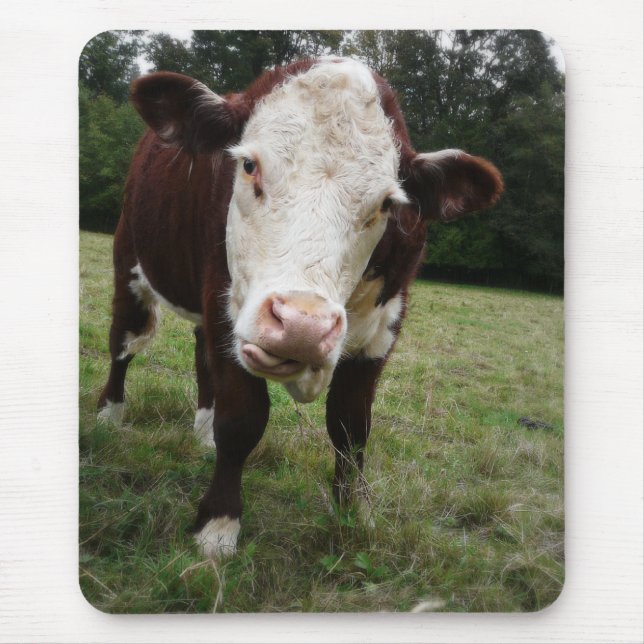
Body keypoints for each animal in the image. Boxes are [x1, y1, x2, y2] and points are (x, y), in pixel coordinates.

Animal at [96, 57, 503, 559]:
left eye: (387, 203)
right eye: (249, 165)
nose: (301, 326)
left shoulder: (381, 332)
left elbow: (351, 429)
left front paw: (354, 514)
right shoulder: (225, 305)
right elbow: (242, 421)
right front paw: (218, 525)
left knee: (200, 357)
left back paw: (202, 431)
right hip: (130, 262)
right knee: (124, 343)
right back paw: (109, 416)